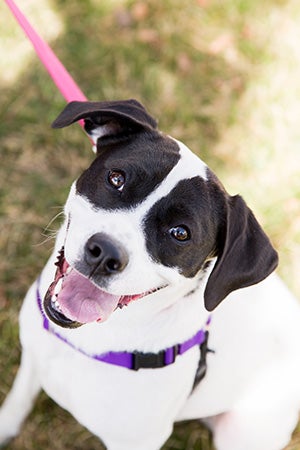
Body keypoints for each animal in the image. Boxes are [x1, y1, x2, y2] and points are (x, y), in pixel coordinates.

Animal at [0, 99, 300, 450]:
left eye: (180, 233)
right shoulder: (33, 357)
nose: (105, 253)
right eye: (116, 178)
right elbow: (18, 401)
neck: (89, 340)